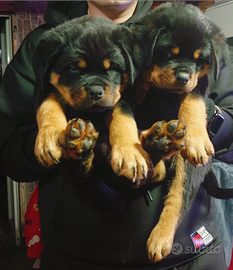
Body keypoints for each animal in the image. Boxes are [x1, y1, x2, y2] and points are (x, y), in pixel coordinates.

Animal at [33, 15, 151, 179]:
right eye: (73, 68)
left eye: (112, 68)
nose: (95, 91)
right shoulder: (44, 85)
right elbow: (48, 107)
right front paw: (48, 138)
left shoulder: (123, 95)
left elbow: (124, 118)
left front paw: (130, 153)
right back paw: (81, 141)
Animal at [132, 2, 230, 262]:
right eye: (167, 52)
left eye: (201, 59)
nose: (183, 76)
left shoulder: (200, 83)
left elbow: (192, 101)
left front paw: (195, 139)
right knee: (157, 172)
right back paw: (154, 144)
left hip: (189, 167)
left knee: (177, 196)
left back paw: (160, 238)